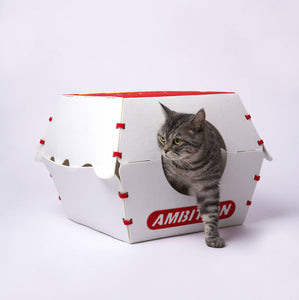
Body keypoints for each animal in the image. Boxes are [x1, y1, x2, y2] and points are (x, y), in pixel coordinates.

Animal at [159, 103, 225, 248]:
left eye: (177, 141)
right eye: (162, 138)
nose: (165, 150)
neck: (190, 167)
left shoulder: (208, 187)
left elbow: (211, 214)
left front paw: (213, 237)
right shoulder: (172, 179)